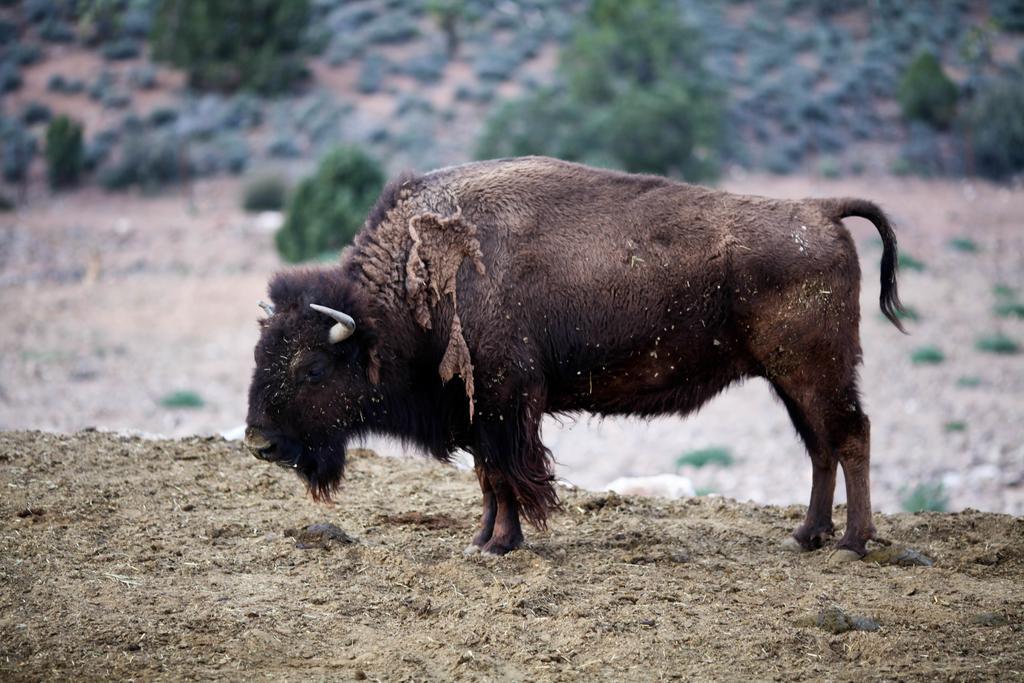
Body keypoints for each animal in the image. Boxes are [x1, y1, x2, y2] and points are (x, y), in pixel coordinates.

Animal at [247, 156, 905, 561]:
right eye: (261, 353)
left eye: (312, 367)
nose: (259, 442)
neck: (420, 284)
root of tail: (818, 211)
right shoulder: (481, 413)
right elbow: (488, 479)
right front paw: (483, 540)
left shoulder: (505, 404)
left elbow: (506, 476)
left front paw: (501, 544)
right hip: (789, 379)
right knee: (821, 445)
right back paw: (806, 535)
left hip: (814, 370)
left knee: (851, 435)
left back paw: (851, 543)